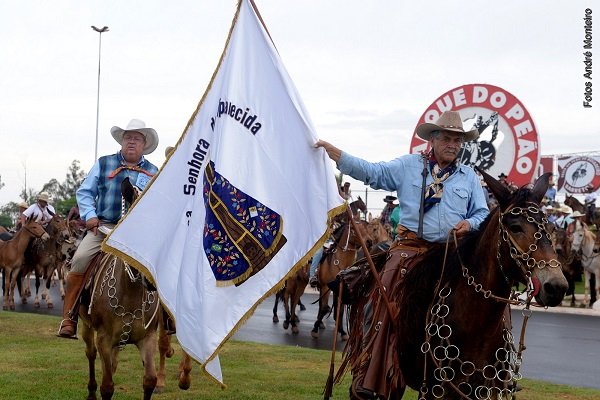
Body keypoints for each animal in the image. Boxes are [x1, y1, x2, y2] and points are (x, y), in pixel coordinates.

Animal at [76, 178, 162, 400]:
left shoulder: (148, 338)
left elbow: (150, 380)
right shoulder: (104, 339)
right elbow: (107, 386)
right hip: (86, 326)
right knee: (90, 354)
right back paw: (91, 391)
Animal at [339, 171, 567, 400]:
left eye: (550, 228)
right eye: (515, 227)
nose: (556, 286)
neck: (477, 326)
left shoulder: (484, 391)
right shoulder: (435, 389)